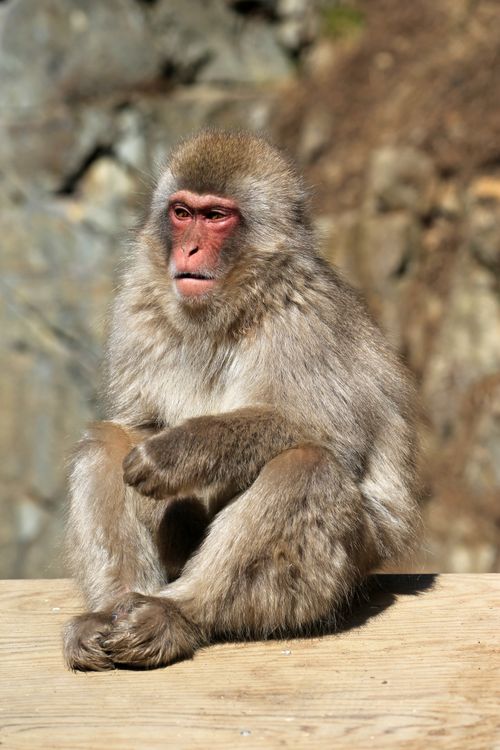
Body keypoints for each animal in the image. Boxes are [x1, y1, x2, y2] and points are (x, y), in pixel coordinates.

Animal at [63, 130, 420, 671]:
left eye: (216, 216)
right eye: (182, 212)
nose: (189, 248)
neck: (231, 308)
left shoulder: (305, 322)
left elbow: (331, 434)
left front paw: (175, 452)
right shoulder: (137, 307)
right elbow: (136, 423)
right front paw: (151, 444)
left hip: (351, 563)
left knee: (307, 467)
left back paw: (179, 614)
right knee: (106, 443)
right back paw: (112, 610)